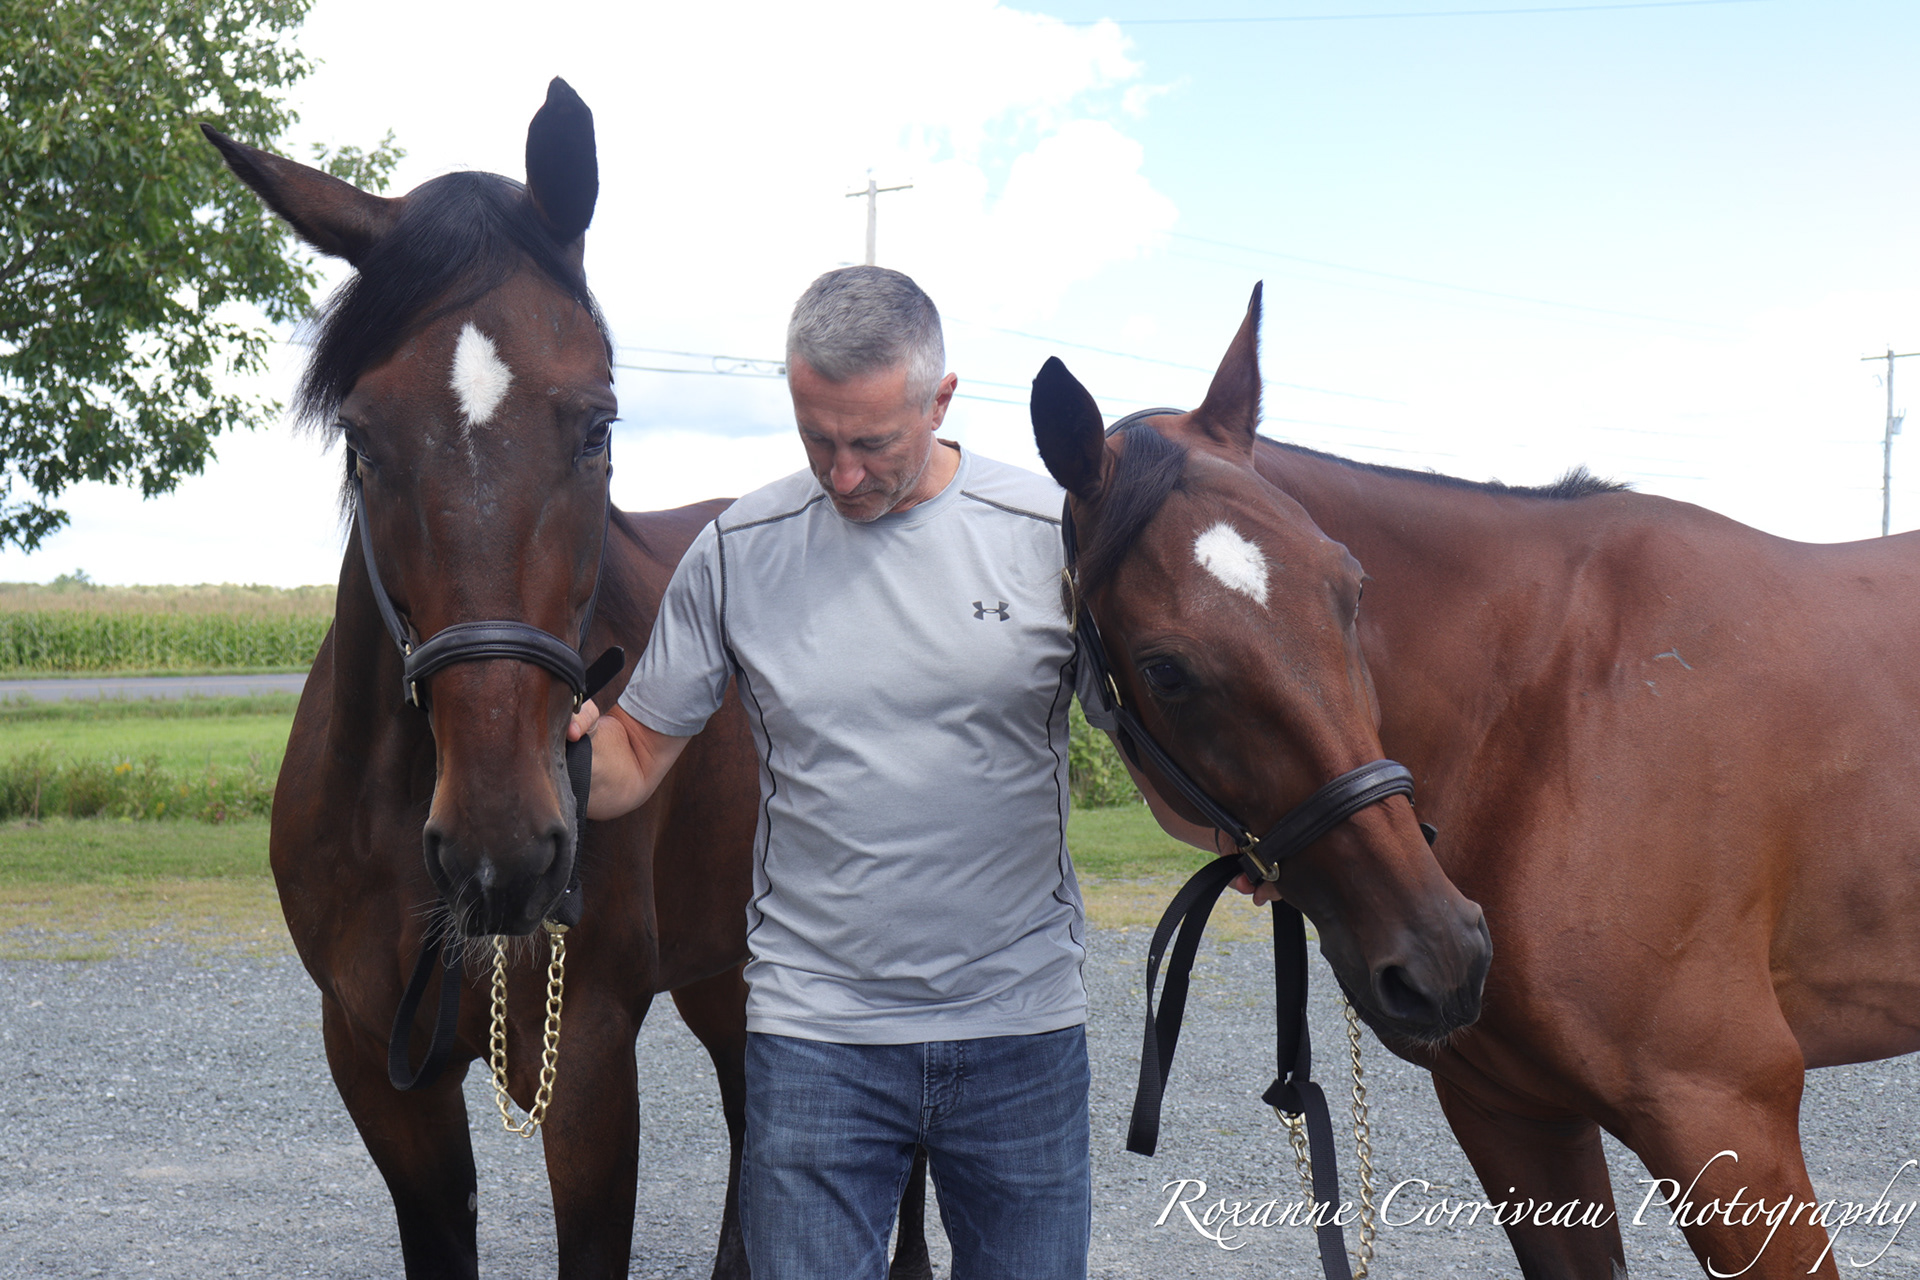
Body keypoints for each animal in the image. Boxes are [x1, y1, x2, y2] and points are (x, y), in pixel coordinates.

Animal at [204, 81, 931, 1279]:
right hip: (729, 966)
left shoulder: (583, 1055)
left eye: (598, 424)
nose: (501, 849)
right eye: (361, 435)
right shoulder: (376, 1065)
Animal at [1031, 283, 1920, 1279]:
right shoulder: (1515, 1116)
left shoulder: (1726, 1110)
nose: (1445, 955)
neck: (1558, 701)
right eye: (1166, 670)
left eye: (1353, 589)